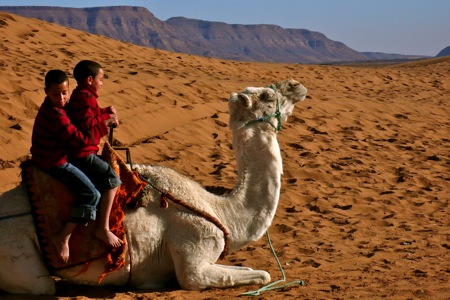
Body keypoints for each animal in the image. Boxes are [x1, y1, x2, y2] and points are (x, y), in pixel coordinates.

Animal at [0, 78, 306, 294]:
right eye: (266, 96)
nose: (296, 85)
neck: (224, 211)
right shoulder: (194, 256)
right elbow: (260, 274)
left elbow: (254, 269)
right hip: (21, 258)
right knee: (42, 285)